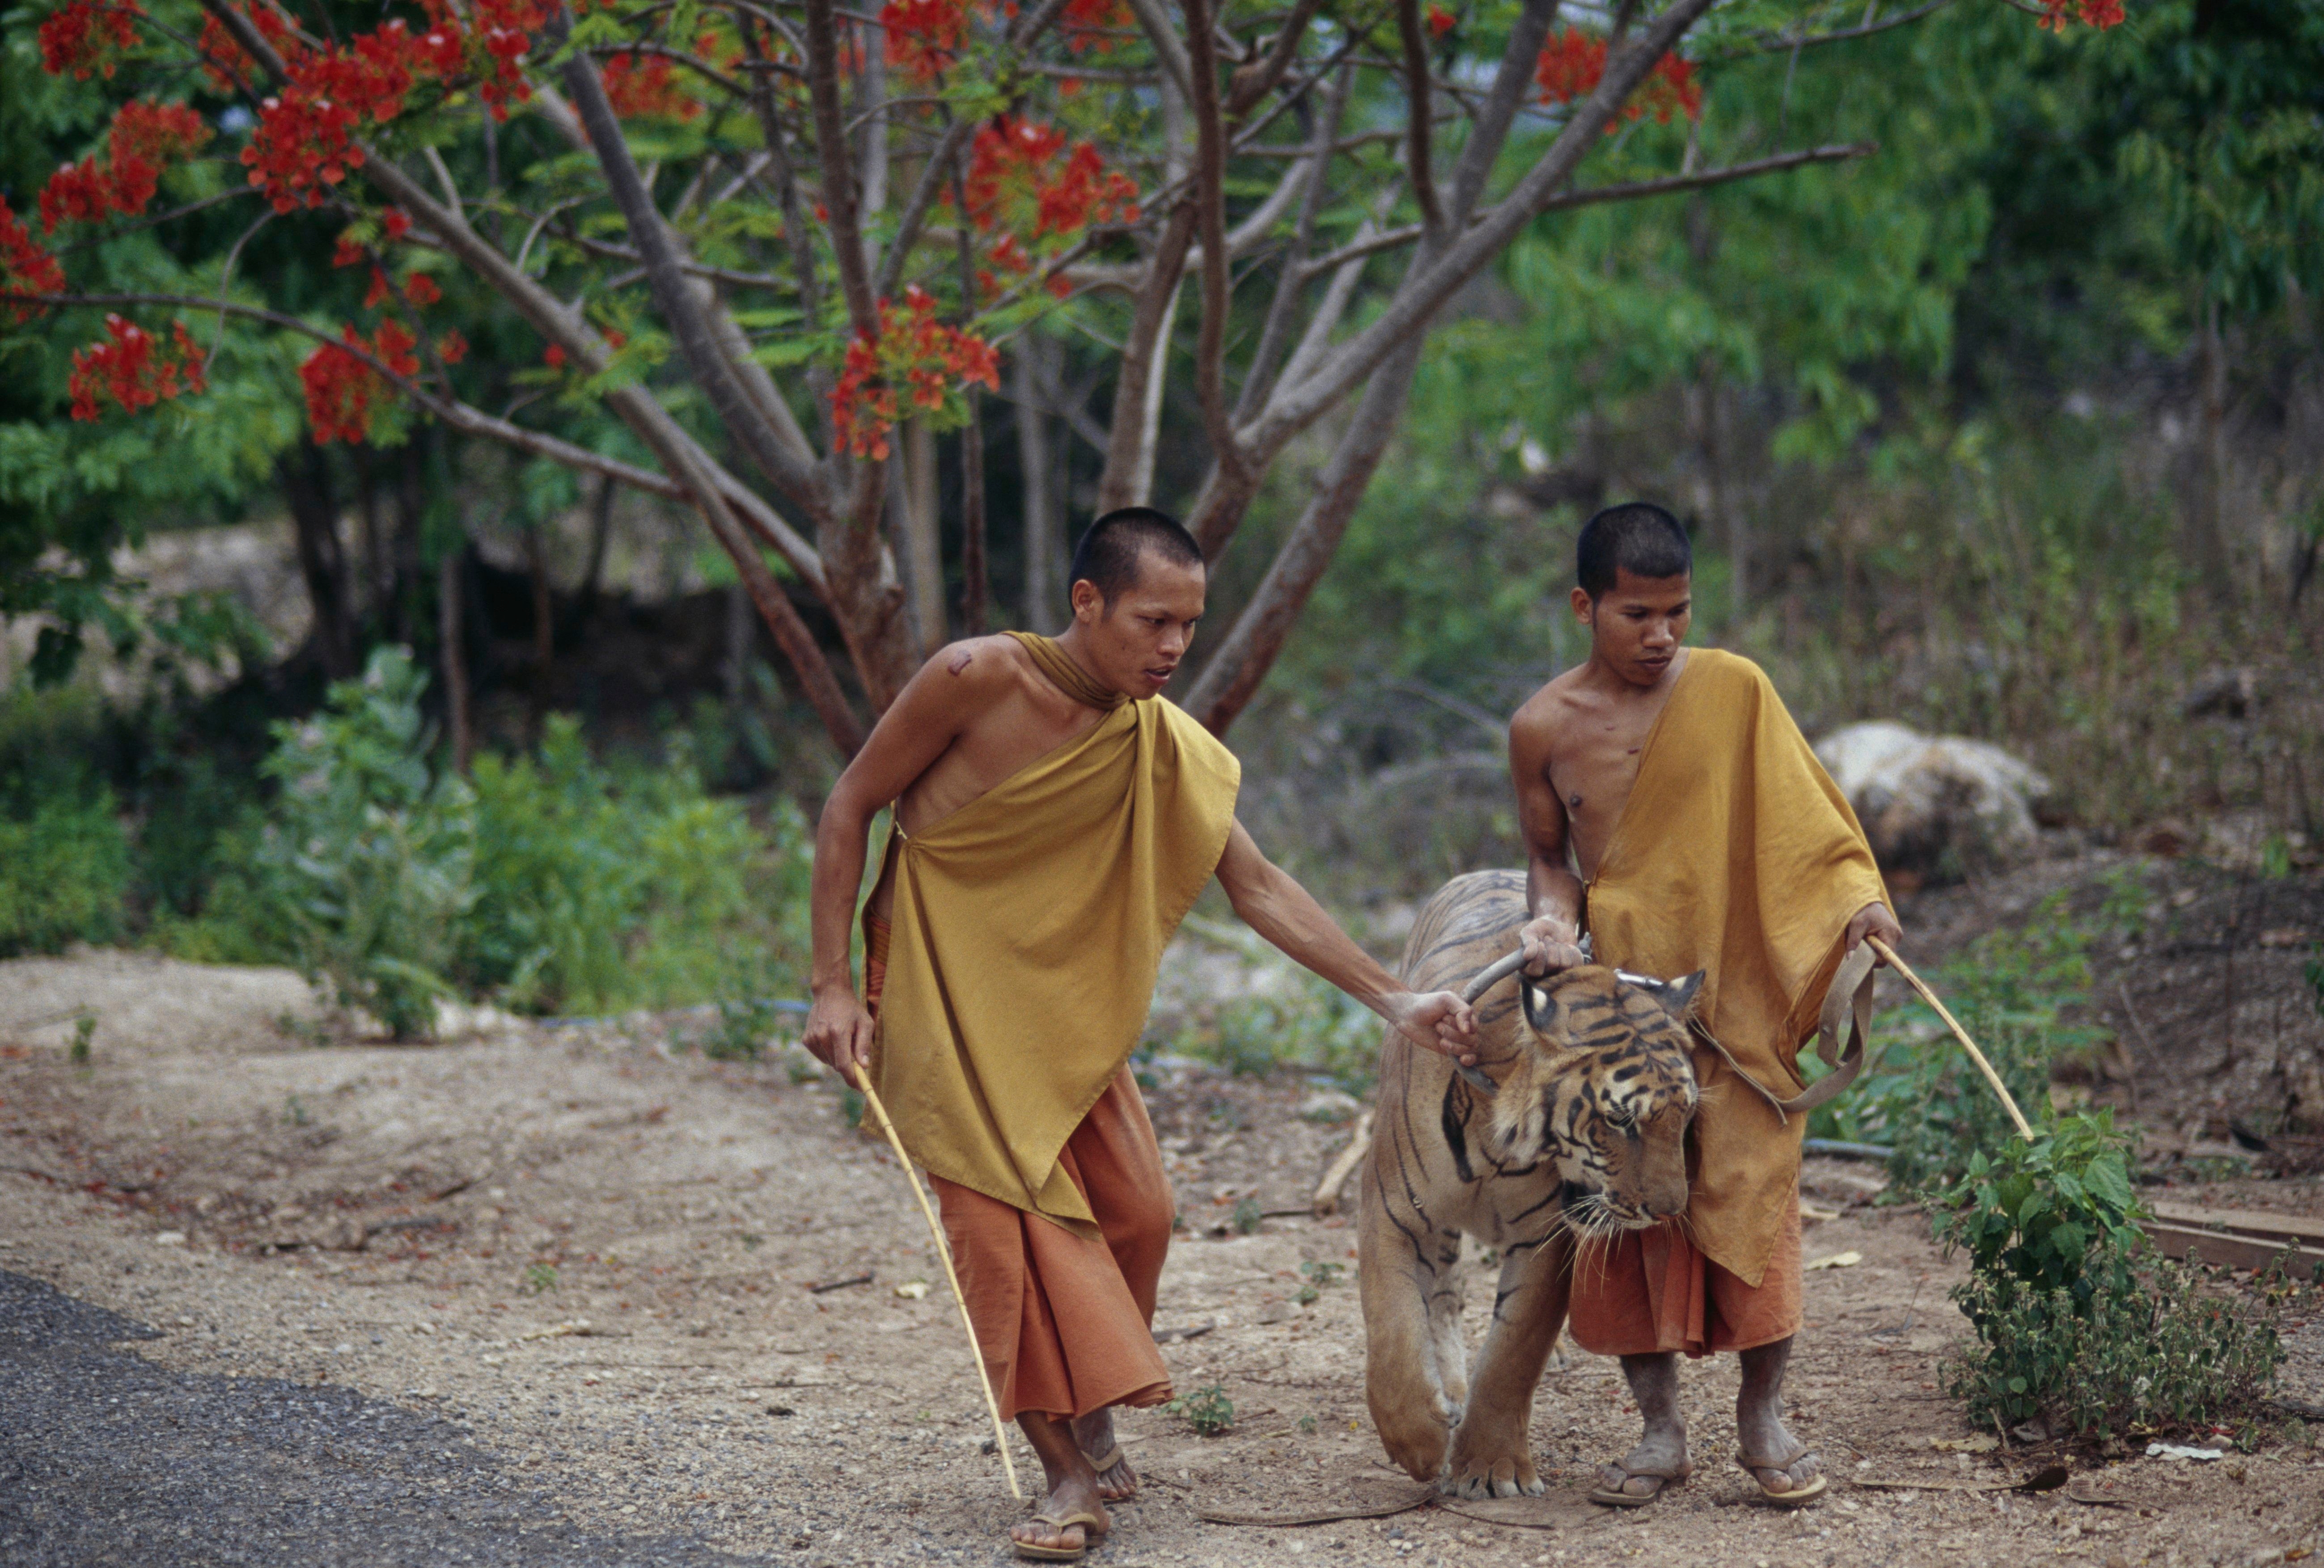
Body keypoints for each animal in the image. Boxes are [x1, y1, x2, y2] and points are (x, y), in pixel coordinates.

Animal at [1356, 869, 1702, 1497]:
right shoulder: (1393, 1213)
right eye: (1621, 1121)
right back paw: (1449, 1393)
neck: (1499, 1135)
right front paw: (1417, 1443)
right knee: (1444, 1296)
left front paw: (1492, 1470)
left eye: (1685, 1115)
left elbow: (1513, 1354)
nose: (1669, 1211)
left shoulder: (1546, 1238)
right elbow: (1394, 1332)